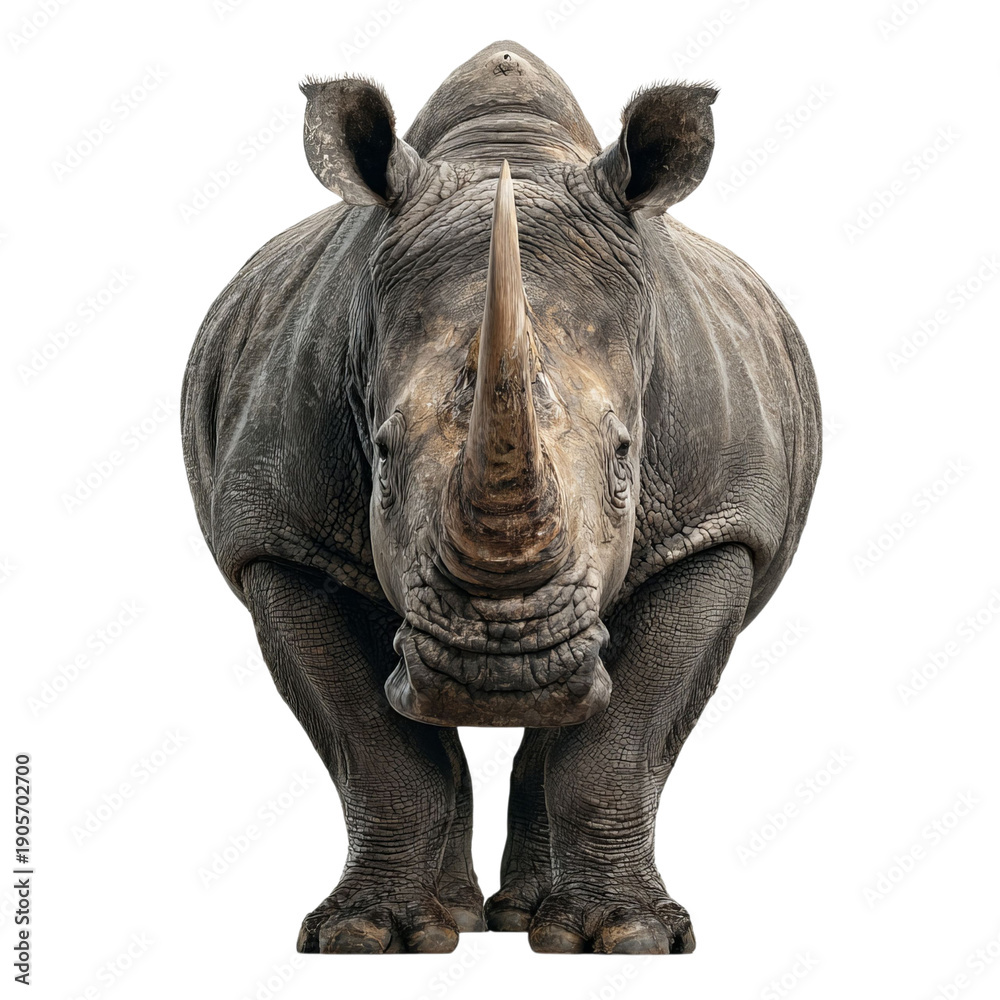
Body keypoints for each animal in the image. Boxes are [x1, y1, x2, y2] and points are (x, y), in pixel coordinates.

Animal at [182, 39, 821, 955]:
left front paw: (627, 936)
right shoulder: (281, 534)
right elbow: (372, 745)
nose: (501, 668)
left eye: (627, 457)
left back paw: (529, 922)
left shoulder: (716, 526)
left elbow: (622, 741)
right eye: (380, 455)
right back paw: (456, 919)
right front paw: (366, 938)